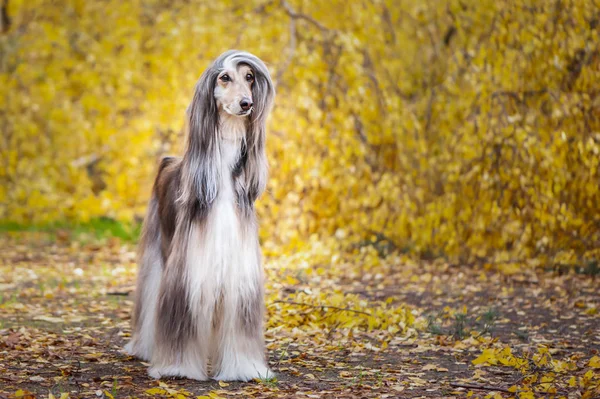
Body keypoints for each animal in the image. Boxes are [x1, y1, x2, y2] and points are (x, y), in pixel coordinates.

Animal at [126, 50, 276, 382]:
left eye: (250, 77)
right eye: (224, 77)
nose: (246, 104)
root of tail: (169, 160)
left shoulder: (239, 273)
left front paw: (244, 368)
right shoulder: (188, 269)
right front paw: (177, 366)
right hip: (158, 250)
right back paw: (144, 348)